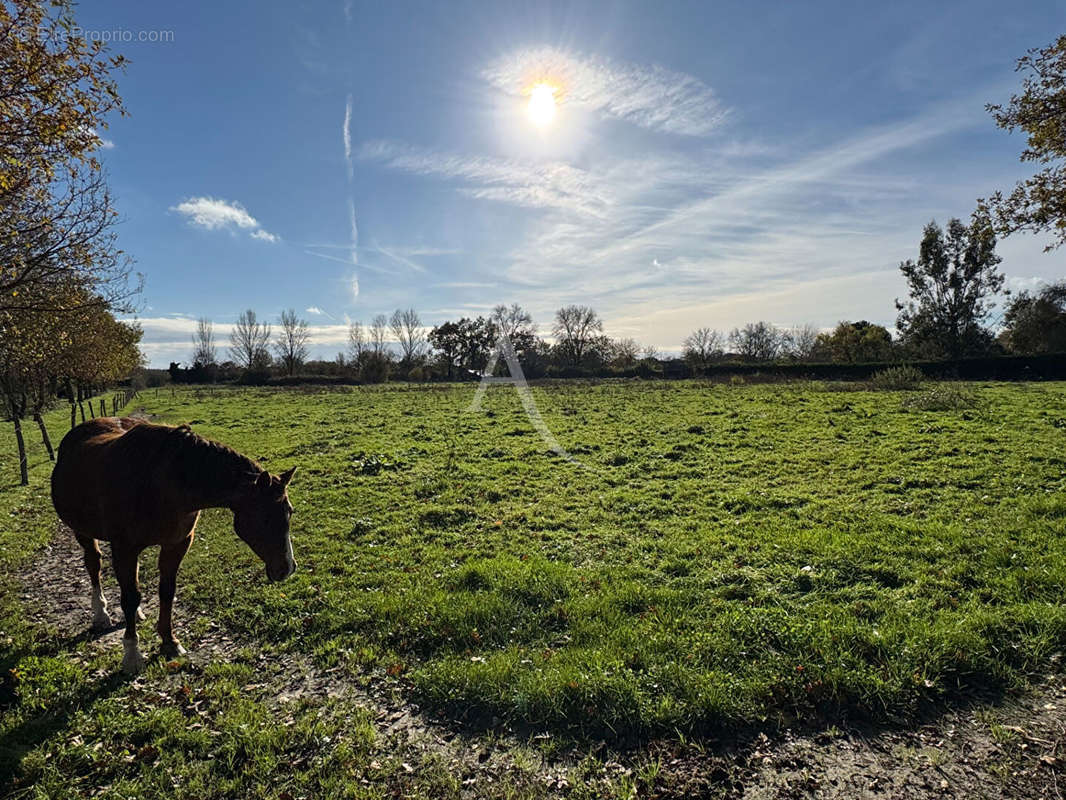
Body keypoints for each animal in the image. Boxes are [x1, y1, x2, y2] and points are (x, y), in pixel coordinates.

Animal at [50, 420, 296, 678]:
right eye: (266, 518)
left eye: (290, 512)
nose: (287, 568)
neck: (163, 482)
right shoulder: (125, 548)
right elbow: (130, 596)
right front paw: (132, 655)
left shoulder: (177, 544)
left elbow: (166, 591)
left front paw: (169, 641)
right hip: (83, 532)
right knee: (94, 565)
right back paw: (100, 613)